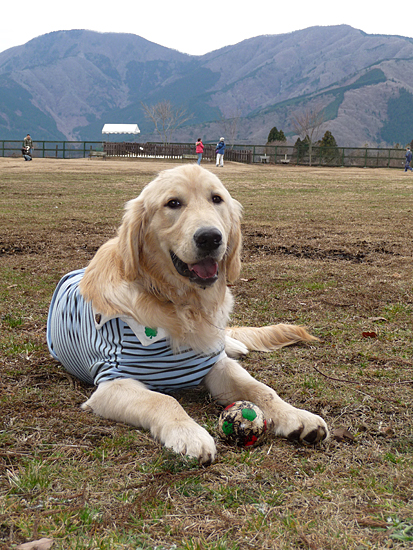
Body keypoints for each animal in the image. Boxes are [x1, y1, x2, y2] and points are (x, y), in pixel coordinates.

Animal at [46, 165, 326, 466]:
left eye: (216, 199)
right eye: (173, 203)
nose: (210, 237)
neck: (182, 304)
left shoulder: (215, 365)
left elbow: (260, 389)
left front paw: (297, 416)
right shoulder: (112, 383)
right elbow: (163, 400)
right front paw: (189, 434)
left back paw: (234, 345)